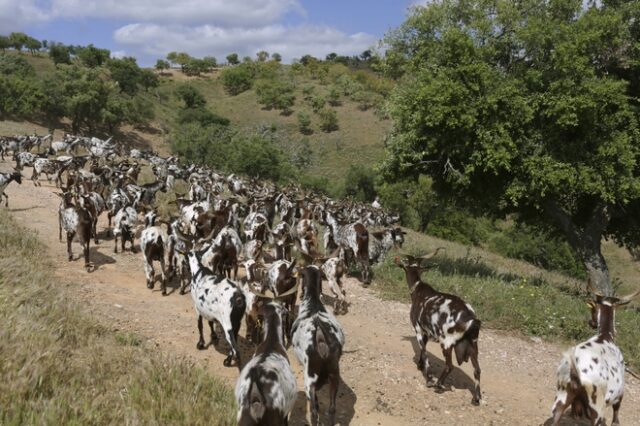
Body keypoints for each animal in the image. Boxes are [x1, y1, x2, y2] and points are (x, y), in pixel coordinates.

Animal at [392, 251, 482, 404]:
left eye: (406, 265)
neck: (419, 290)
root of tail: (471, 319)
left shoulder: (418, 329)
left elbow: (424, 351)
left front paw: (428, 378)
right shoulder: (426, 332)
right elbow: (423, 350)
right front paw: (420, 365)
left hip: (446, 343)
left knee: (450, 366)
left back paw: (439, 385)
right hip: (473, 345)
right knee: (477, 370)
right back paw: (477, 398)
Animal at [552, 286, 640, 426]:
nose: (591, 322)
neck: (605, 336)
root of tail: (576, 371)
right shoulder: (620, 391)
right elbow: (616, 415)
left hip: (562, 395)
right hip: (597, 405)